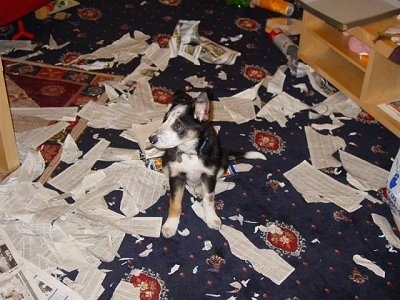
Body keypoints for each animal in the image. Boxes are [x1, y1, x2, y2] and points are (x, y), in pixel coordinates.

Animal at [148, 90, 266, 238]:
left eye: (178, 125)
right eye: (164, 120)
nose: (151, 139)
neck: (191, 152)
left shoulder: (210, 174)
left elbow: (209, 199)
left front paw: (212, 218)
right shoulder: (177, 174)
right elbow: (175, 202)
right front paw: (170, 225)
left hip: (222, 162)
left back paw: (199, 189)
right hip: (166, 157)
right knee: (165, 170)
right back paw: (166, 182)